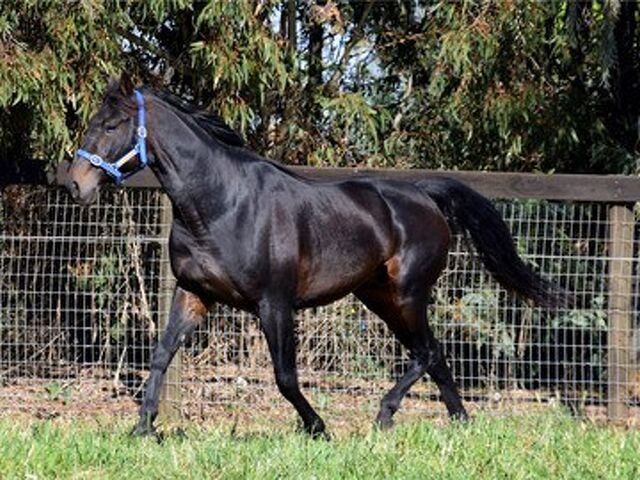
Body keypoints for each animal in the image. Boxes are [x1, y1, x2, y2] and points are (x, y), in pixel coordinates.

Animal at [63, 75, 566, 438]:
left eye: (111, 126)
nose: (74, 185)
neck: (222, 205)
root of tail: (424, 195)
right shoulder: (192, 294)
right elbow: (161, 356)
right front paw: (142, 429)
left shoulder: (274, 304)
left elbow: (285, 375)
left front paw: (318, 427)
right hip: (378, 297)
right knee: (434, 354)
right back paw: (459, 422)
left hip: (407, 294)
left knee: (427, 351)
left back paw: (385, 416)